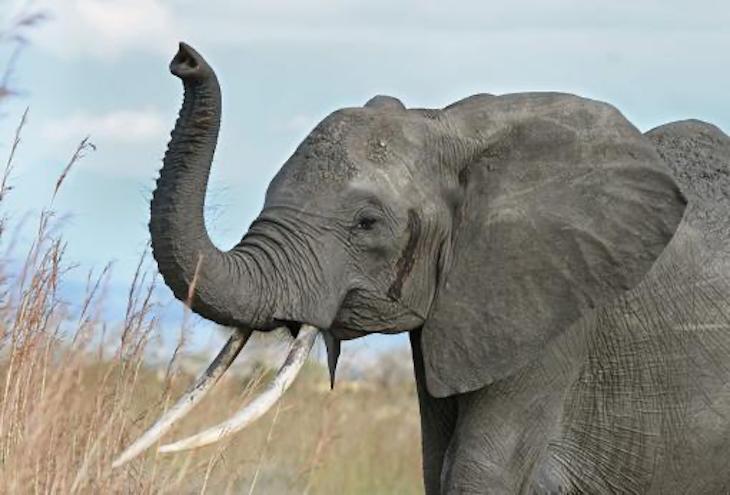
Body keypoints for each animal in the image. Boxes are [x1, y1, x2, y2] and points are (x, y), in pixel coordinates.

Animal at [114, 43, 730, 494]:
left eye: (367, 223)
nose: (183, 57)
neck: (453, 127)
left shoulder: (556, 318)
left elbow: (478, 473)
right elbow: (437, 465)